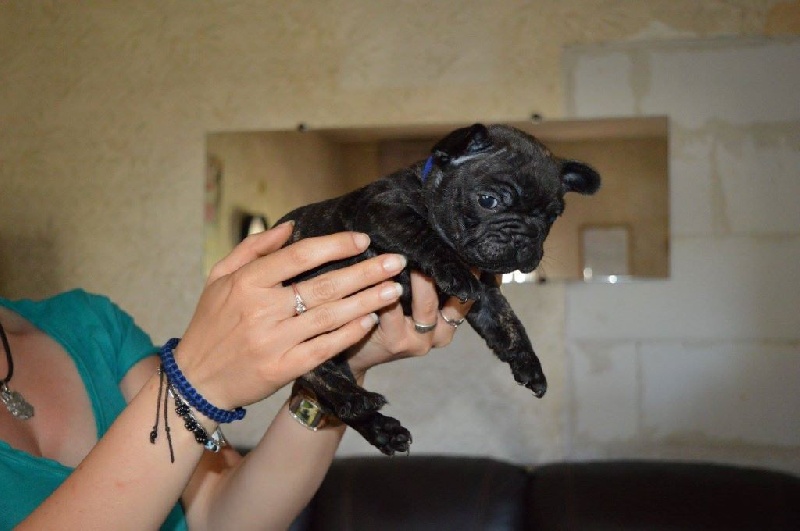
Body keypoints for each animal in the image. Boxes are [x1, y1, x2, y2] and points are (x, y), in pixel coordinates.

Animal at [277, 124, 600, 455]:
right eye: (488, 200)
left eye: (551, 217)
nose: (525, 237)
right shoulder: (382, 211)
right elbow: (424, 234)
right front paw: (455, 270)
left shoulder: (488, 297)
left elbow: (509, 325)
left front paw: (529, 365)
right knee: (315, 369)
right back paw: (358, 399)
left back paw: (383, 429)